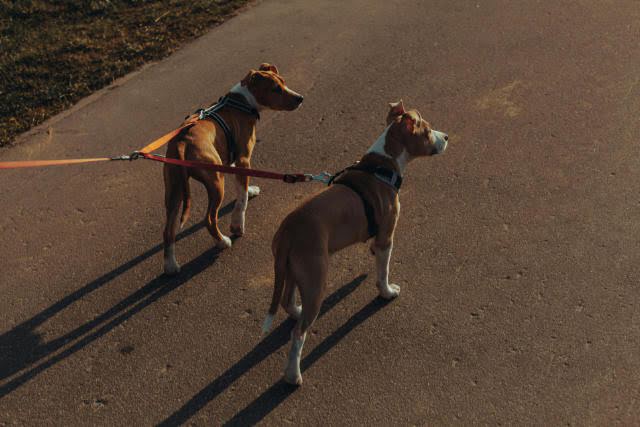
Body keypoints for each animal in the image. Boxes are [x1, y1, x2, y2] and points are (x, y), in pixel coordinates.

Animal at [162, 64, 302, 278]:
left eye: (283, 82)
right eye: (275, 89)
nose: (300, 98)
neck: (242, 101)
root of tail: (182, 143)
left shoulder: (232, 159)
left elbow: (241, 184)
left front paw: (250, 189)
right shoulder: (244, 158)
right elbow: (241, 198)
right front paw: (238, 223)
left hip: (174, 188)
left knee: (168, 230)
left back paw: (171, 265)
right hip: (215, 182)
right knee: (209, 219)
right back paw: (222, 242)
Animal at [262, 102, 448, 386]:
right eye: (427, 131)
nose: (446, 137)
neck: (382, 166)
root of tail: (287, 232)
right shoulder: (386, 237)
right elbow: (383, 272)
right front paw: (387, 292)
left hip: (291, 270)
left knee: (287, 300)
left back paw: (296, 311)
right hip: (315, 278)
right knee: (298, 333)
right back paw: (293, 375)